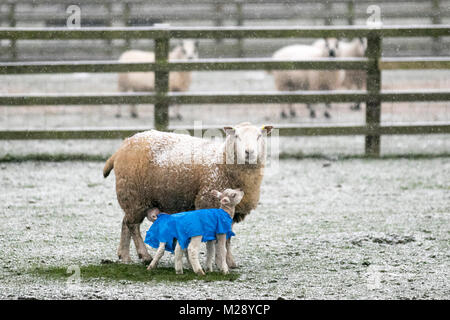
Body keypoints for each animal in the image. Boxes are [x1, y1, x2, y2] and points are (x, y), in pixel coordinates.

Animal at [104, 122, 274, 268]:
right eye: (237, 136)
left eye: (259, 136)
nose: (249, 152)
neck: (222, 161)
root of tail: (123, 145)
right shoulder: (209, 202)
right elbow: (222, 239)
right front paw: (222, 261)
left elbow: (227, 239)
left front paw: (229, 261)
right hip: (134, 195)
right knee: (133, 226)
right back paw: (144, 256)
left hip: (131, 198)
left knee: (125, 222)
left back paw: (124, 256)